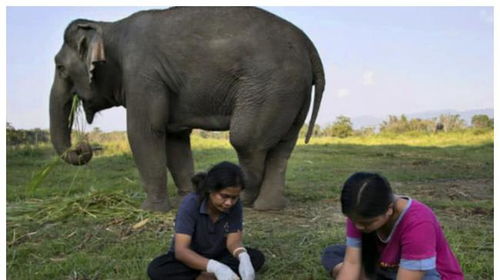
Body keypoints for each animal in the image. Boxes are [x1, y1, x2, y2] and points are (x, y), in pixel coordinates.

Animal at [49, 6, 324, 212]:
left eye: (60, 68)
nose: (83, 146)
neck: (109, 27)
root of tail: (308, 45)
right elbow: (175, 138)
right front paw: (188, 196)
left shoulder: (142, 75)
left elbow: (144, 132)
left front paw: (150, 210)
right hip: (293, 91)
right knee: (282, 147)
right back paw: (268, 207)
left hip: (271, 87)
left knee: (246, 141)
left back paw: (245, 201)